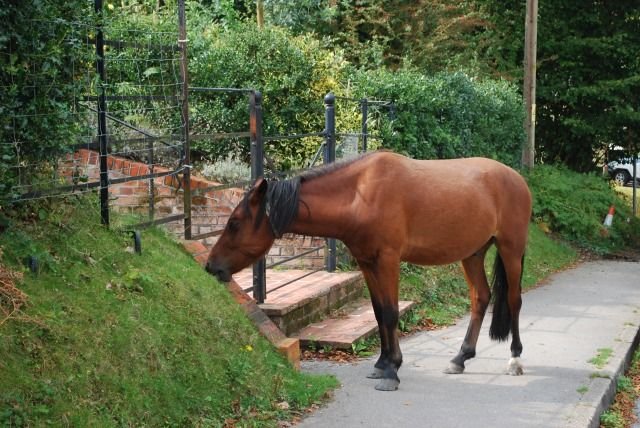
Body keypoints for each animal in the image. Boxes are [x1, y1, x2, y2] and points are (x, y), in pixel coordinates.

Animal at [205, 150, 532, 391]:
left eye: (234, 223)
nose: (211, 266)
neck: (359, 195)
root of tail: (517, 178)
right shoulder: (367, 262)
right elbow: (377, 312)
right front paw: (382, 364)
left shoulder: (387, 260)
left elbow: (390, 312)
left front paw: (392, 371)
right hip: (473, 254)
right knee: (481, 298)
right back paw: (460, 358)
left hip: (510, 249)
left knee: (514, 300)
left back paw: (515, 359)